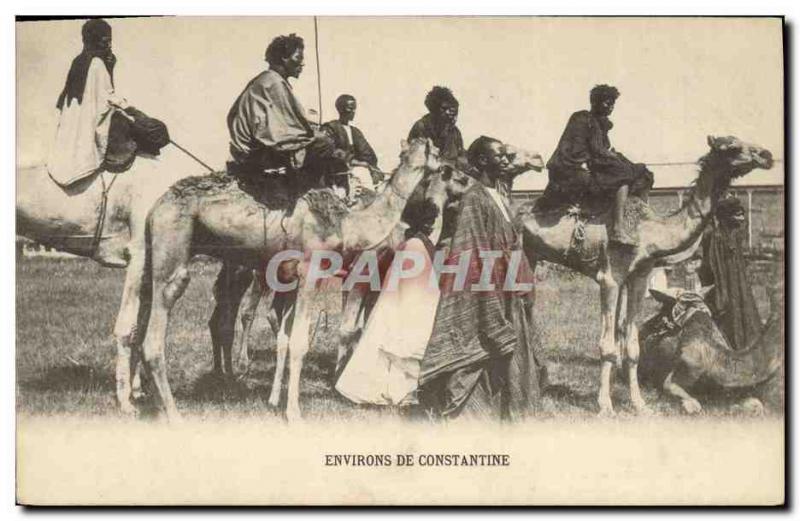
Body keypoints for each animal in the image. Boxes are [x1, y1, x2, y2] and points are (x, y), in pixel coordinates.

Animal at [138, 139, 450, 422]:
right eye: (436, 151)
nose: (448, 166)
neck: (348, 224)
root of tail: (156, 206)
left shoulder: (293, 278)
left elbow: (285, 339)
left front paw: (275, 400)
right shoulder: (312, 270)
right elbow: (301, 342)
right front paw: (295, 412)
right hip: (175, 245)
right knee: (157, 333)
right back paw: (174, 413)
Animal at [520, 135, 776, 414]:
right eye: (732, 147)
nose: (766, 155)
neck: (651, 232)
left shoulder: (639, 277)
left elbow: (632, 345)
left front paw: (639, 404)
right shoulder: (610, 278)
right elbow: (607, 345)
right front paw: (605, 405)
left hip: (530, 258)